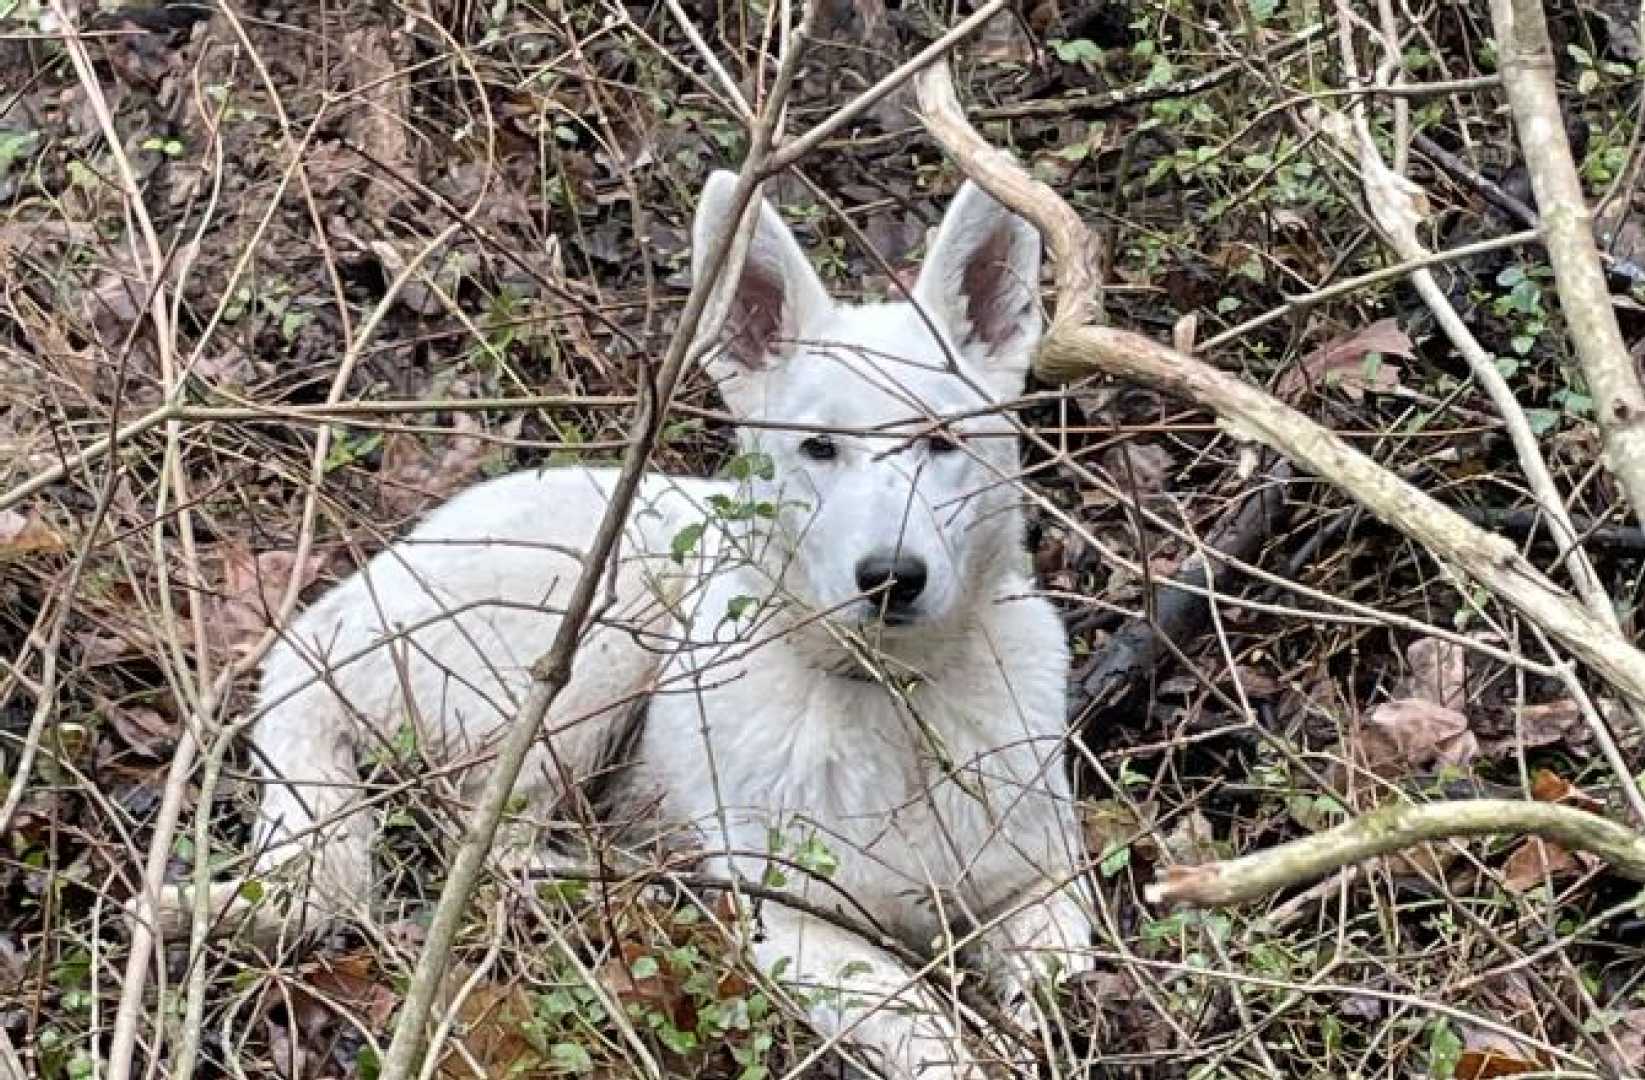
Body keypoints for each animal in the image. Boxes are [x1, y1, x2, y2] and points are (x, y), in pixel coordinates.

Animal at [205, 172, 1094, 1078]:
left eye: (941, 441)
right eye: (816, 448)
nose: (891, 577)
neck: (892, 694)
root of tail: (333, 611)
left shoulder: (1044, 886)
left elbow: (1063, 984)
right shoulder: (797, 930)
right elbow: (924, 1024)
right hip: (603, 621)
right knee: (492, 841)